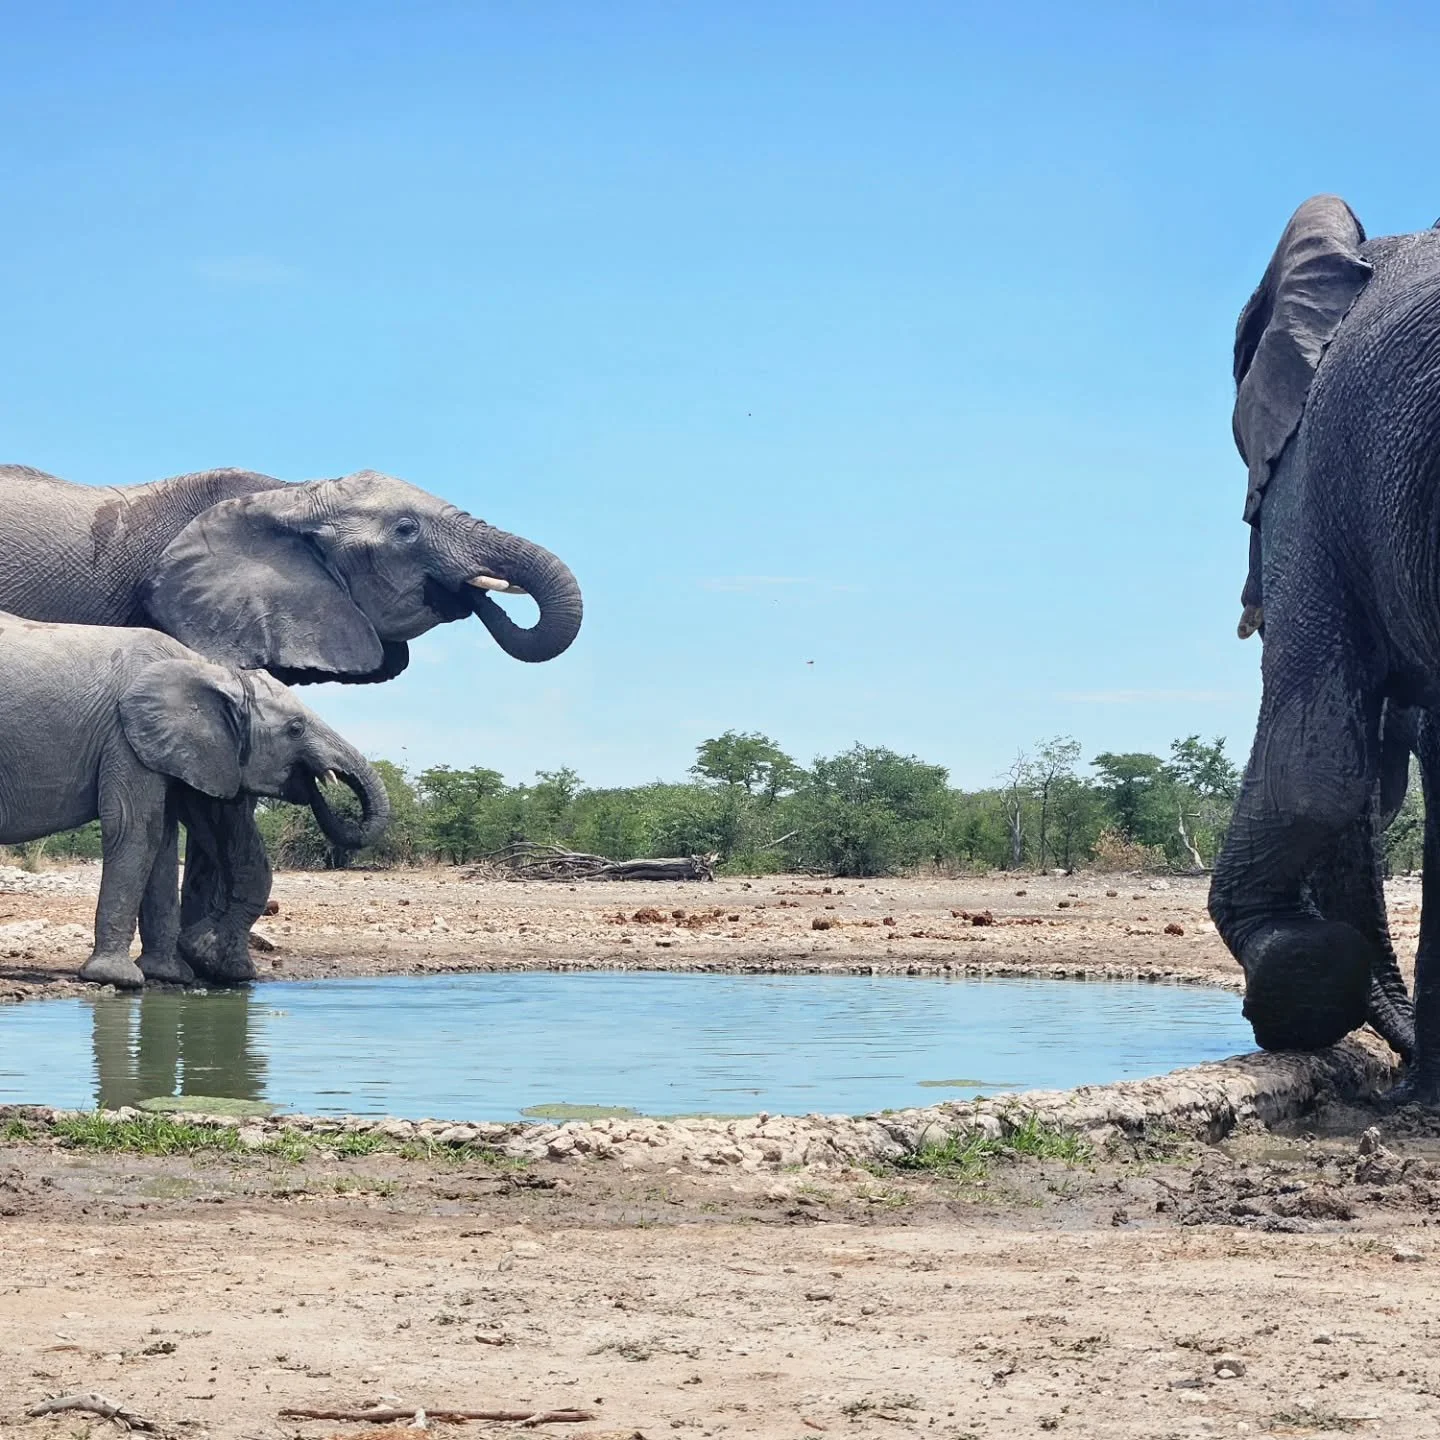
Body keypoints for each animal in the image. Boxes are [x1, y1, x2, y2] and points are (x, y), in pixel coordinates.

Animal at [0, 613, 390, 990]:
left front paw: (180, 970)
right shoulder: (125, 735)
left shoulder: (177, 748)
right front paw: (118, 979)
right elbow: (136, 827)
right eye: (296, 729)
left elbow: (170, 836)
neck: (211, 669)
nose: (319, 784)